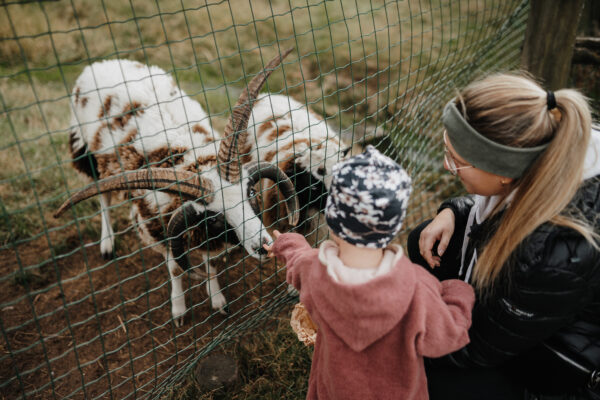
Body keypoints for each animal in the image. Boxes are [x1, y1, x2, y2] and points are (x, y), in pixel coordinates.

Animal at [55, 50, 298, 324]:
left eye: (252, 193)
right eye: (214, 218)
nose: (264, 247)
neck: (188, 155)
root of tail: (102, 62)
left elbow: (211, 263)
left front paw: (217, 299)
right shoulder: (158, 226)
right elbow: (175, 269)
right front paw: (179, 310)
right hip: (88, 153)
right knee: (103, 199)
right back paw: (107, 244)